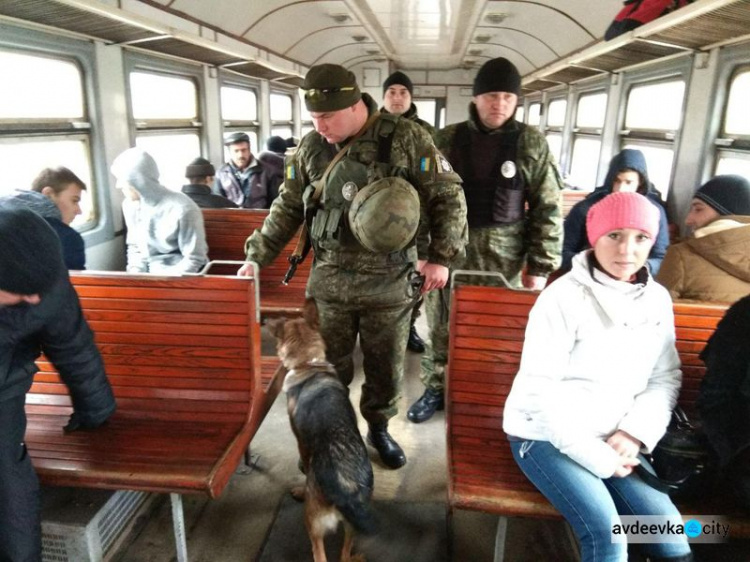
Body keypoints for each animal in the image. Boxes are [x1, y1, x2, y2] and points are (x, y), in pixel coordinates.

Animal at [268, 300, 376, 560]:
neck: (309, 363)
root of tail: (345, 491)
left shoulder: (301, 442)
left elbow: (305, 465)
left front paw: (301, 486)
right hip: (352, 527)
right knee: (344, 556)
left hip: (313, 525)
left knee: (320, 554)